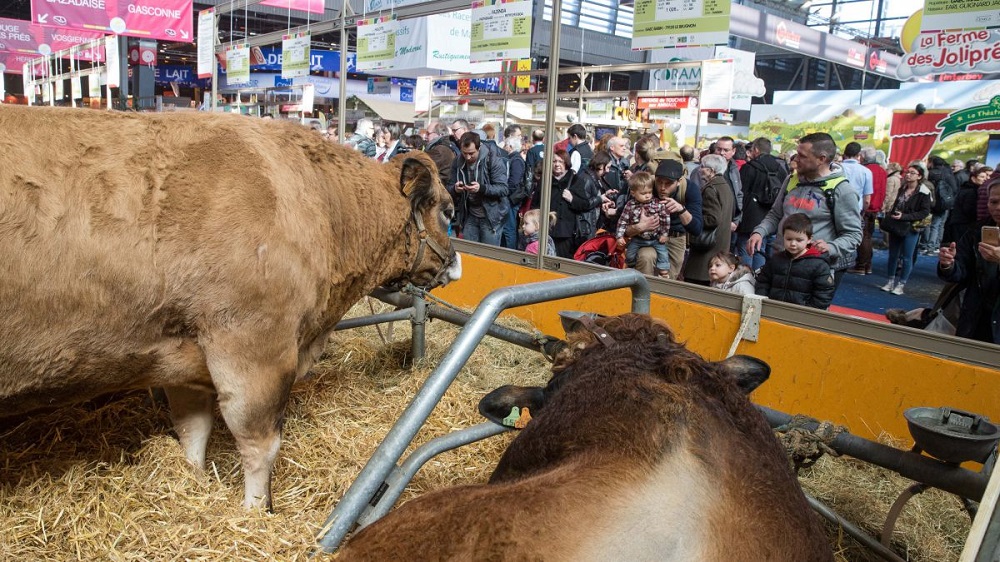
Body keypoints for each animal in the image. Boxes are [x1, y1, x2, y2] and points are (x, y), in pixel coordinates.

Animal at [0, 104, 460, 508]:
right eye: (448, 209)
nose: (456, 264)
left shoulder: (182, 354)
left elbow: (192, 429)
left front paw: (193, 479)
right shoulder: (254, 346)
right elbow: (260, 443)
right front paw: (255, 510)